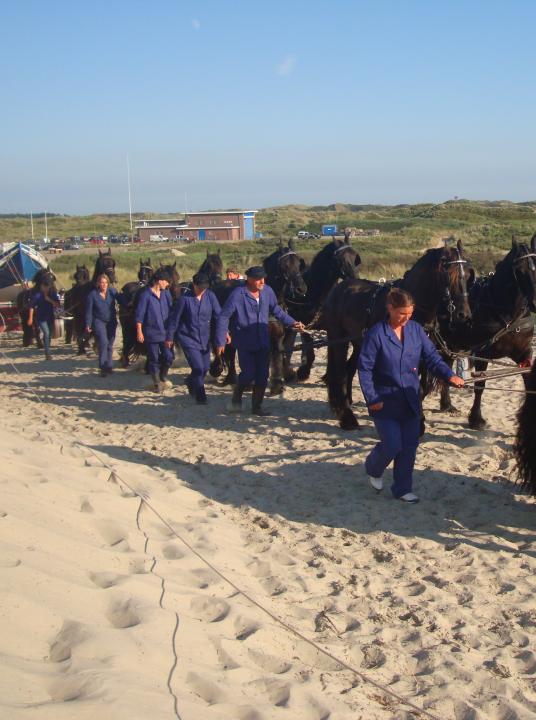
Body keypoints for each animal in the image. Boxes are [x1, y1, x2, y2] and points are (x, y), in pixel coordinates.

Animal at [322, 242, 474, 428]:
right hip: (338, 340)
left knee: (349, 369)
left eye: (468, 275)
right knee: (338, 373)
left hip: (359, 342)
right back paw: (346, 416)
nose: (464, 314)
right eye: (449, 276)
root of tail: (337, 289)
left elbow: (422, 387)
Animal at [434, 236, 536, 428]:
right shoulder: (482, 353)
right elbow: (480, 385)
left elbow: (529, 382)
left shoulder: (523, 352)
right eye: (519, 270)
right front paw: (476, 418)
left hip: (449, 345)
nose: (535, 302)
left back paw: (447, 404)